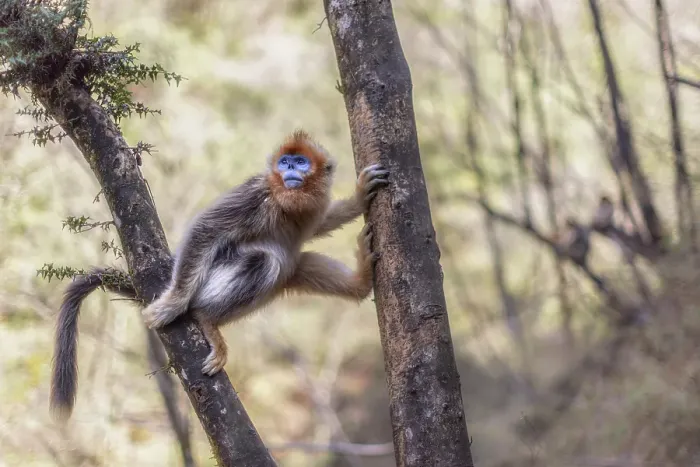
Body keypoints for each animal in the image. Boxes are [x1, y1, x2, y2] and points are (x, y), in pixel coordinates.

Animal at [50, 129, 389, 423]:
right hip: (210, 279)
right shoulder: (257, 192)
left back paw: (360, 282)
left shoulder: (313, 205)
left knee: (297, 264)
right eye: (285, 162)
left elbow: (319, 225)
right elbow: (207, 229)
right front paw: (173, 304)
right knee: (266, 260)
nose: (291, 168)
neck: (289, 202)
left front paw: (360, 197)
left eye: (300, 161)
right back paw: (206, 318)